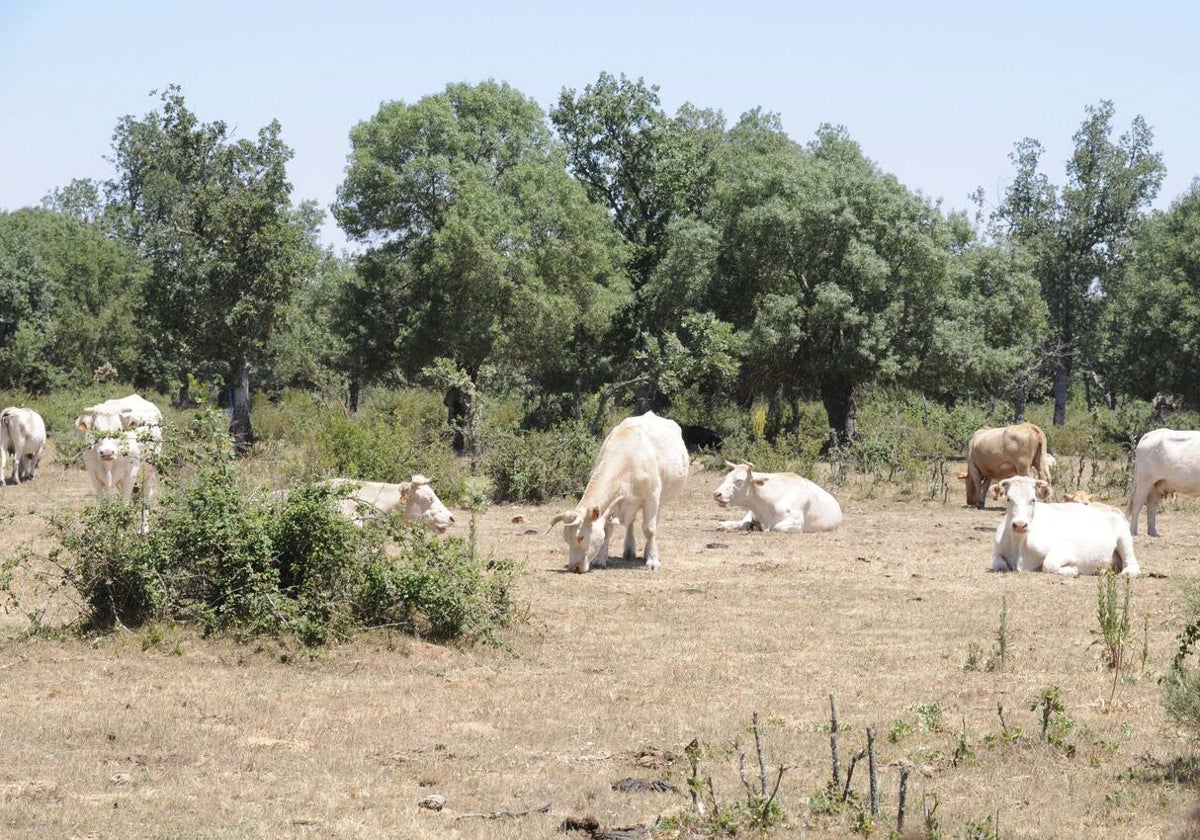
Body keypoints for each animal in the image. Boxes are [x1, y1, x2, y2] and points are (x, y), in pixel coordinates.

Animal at [549, 412, 691, 573]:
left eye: (581, 537)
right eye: (566, 538)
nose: (574, 567)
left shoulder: (652, 498)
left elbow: (649, 529)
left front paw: (653, 561)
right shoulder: (613, 503)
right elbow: (607, 530)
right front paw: (600, 559)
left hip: (660, 498)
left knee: (654, 523)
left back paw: (648, 552)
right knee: (631, 522)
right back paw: (629, 551)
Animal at [988, 480, 1137, 578]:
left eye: (1033, 499)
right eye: (1008, 499)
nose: (1020, 525)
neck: (1019, 543)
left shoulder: (1066, 550)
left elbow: (1048, 564)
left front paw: (1073, 570)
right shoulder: (997, 551)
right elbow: (999, 564)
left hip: (1124, 540)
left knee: (1132, 564)